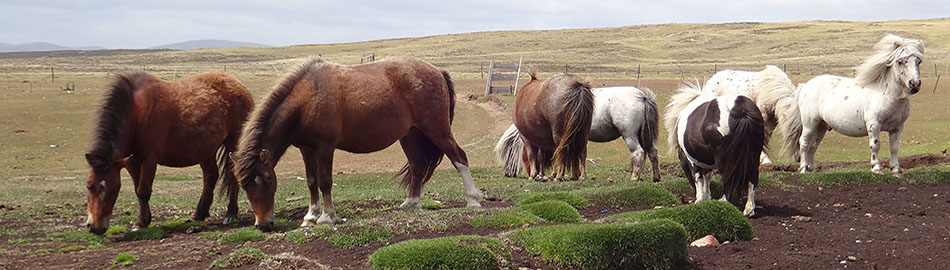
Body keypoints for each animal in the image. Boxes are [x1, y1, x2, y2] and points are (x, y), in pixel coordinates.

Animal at [84, 71, 255, 234]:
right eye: (89, 186)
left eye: (114, 189)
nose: (95, 227)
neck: (136, 114)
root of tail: (239, 86)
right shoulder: (131, 162)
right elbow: (137, 189)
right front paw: (143, 220)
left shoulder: (149, 159)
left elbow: (143, 191)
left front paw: (140, 223)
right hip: (206, 150)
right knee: (210, 177)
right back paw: (199, 214)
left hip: (233, 143)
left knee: (232, 176)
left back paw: (231, 214)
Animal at [231, 57, 484, 230]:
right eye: (245, 186)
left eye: (268, 180)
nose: (263, 225)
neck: (307, 98)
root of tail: (438, 71)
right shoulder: (305, 148)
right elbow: (312, 181)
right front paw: (310, 216)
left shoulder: (325, 146)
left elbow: (325, 181)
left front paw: (327, 216)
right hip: (410, 135)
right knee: (418, 165)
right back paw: (411, 202)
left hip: (436, 129)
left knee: (459, 157)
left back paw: (473, 199)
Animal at [498, 86, 660, 181]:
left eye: (509, 153)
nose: (506, 173)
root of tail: (642, 96)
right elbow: (576, 155)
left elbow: (558, 156)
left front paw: (554, 175)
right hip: (643, 136)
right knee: (652, 152)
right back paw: (656, 177)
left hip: (630, 135)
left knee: (638, 153)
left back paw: (634, 177)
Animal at [664, 83, 768, 217]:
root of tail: (741, 110)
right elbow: (707, 176)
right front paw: (707, 197)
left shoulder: (693, 161)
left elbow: (698, 177)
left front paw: (700, 199)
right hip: (754, 156)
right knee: (752, 179)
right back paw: (749, 210)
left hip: (726, 159)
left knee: (728, 178)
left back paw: (723, 201)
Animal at [776, 33, 924, 176]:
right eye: (900, 61)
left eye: (918, 61)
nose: (915, 84)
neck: (887, 95)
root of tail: (805, 86)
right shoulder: (874, 124)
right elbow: (875, 145)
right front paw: (876, 168)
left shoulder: (897, 127)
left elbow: (894, 148)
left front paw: (896, 169)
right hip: (809, 124)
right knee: (804, 143)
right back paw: (803, 169)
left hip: (821, 126)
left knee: (813, 146)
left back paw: (811, 169)